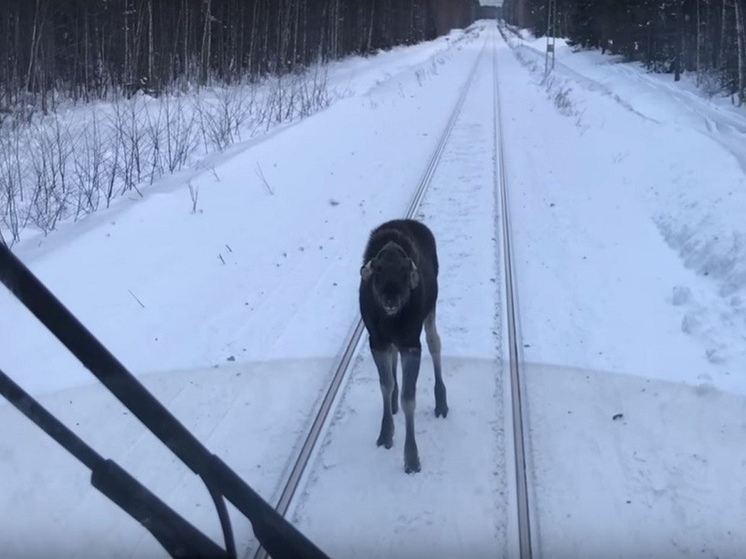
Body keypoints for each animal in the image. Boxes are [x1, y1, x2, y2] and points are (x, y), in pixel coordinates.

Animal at [358, 219, 448, 472]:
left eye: (404, 270)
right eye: (378, 269)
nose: (391, 298)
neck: (391, 320)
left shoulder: (410, 343)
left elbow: (409, 399)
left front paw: (412, 458)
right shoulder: (377, 340)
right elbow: (385, 385)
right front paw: (385, 434)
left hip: (430, 311)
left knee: (435, 342)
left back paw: (441, 402)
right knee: (394, 358)